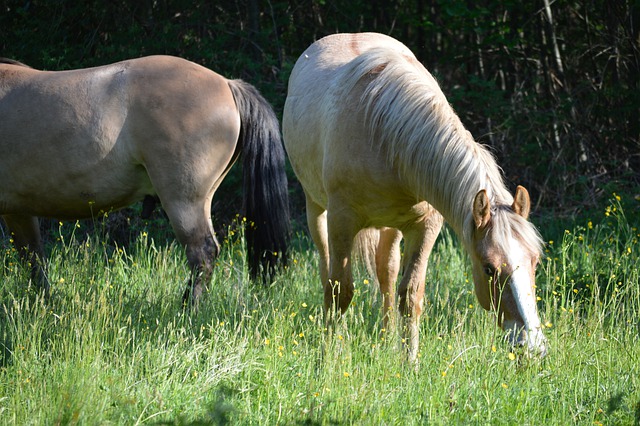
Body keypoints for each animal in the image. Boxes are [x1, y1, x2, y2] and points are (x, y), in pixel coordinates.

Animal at [0, 55, 290, 304]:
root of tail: (227, 84)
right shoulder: (19, 211)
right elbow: (35, 260)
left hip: (184, 203)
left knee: (202, 253)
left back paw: (187, 310)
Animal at [284, 32, 552, 360]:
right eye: (489, 269)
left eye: (535, 261)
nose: (533, 346)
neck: (384, 135)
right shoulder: (341, 222)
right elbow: (340, 291)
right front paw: (331, 358)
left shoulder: (425, 227)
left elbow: (410, 294)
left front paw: (408, 361)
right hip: (317, 210)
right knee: (328, 273)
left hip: (390, 227)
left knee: (386, 274)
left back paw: (386, 340)